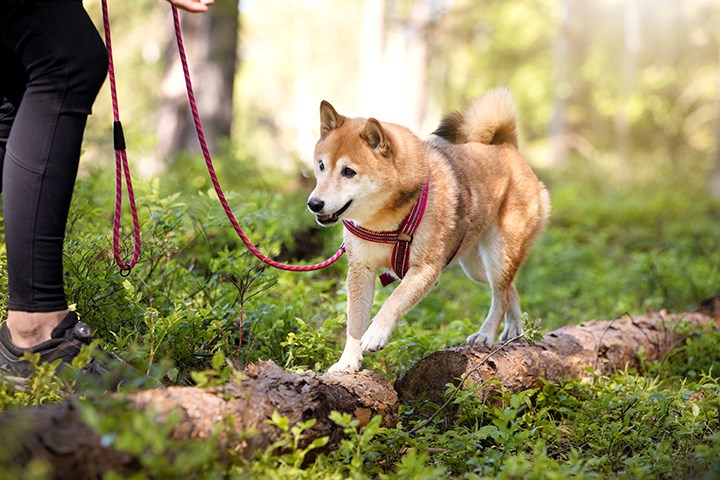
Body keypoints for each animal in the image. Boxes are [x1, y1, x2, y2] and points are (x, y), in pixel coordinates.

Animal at [306, 88, 548, 374]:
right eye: (321, 165)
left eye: (348, 172)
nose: (314, 203)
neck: (384, 220)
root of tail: (506, 147)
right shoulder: (360, 268)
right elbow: (354, 323)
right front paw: (347, 362)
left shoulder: (426, 269)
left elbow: (394, 300)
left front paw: (376, 333)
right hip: (476, 267)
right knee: (510, 288)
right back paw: (515, 325)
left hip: (497, 255)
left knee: (500, 295)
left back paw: (486, 333)